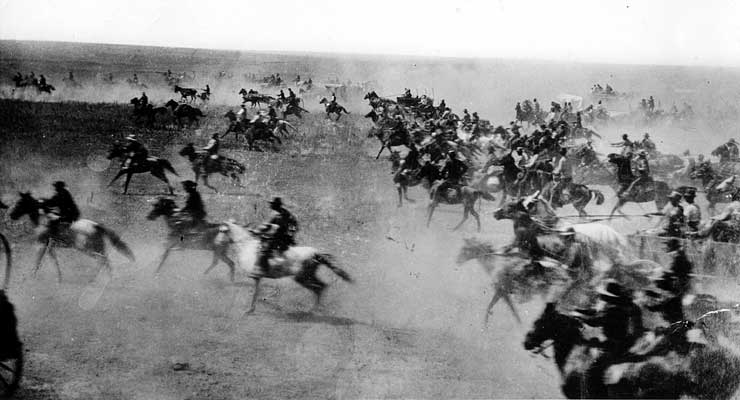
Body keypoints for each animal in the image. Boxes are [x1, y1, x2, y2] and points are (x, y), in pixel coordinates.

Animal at [217, 220, 352, 314]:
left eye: (221, 231)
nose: (217, 243)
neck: (246, 246)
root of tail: (316, 253)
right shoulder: (258, 278)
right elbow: (256, 292)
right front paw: (251, 309)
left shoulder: (256, 277)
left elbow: (255, 293)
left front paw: (249, 310)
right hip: (307, 277)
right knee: (321, 287)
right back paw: (314, 310)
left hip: (302, 277)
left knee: (319, 288)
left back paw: (312, 310)